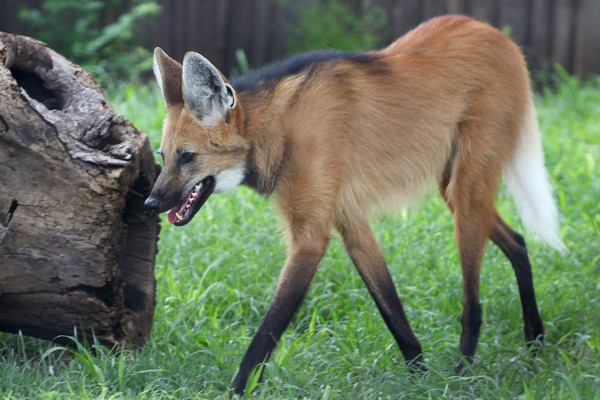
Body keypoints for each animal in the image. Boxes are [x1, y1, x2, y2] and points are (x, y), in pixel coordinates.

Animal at [144, 14, 564, 396]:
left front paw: (237, 390)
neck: (280, 129)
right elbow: (392, 312)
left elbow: (267, 331)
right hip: (453, 189)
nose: (150, 202)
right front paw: (421, 378)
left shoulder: (311, 236)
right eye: (163, 156)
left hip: (466, 189)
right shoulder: (350, 220)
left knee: (473, 303)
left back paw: (464, 374)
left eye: (188, 157)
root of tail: (501, 38)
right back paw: (535, 339)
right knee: (518, 241)